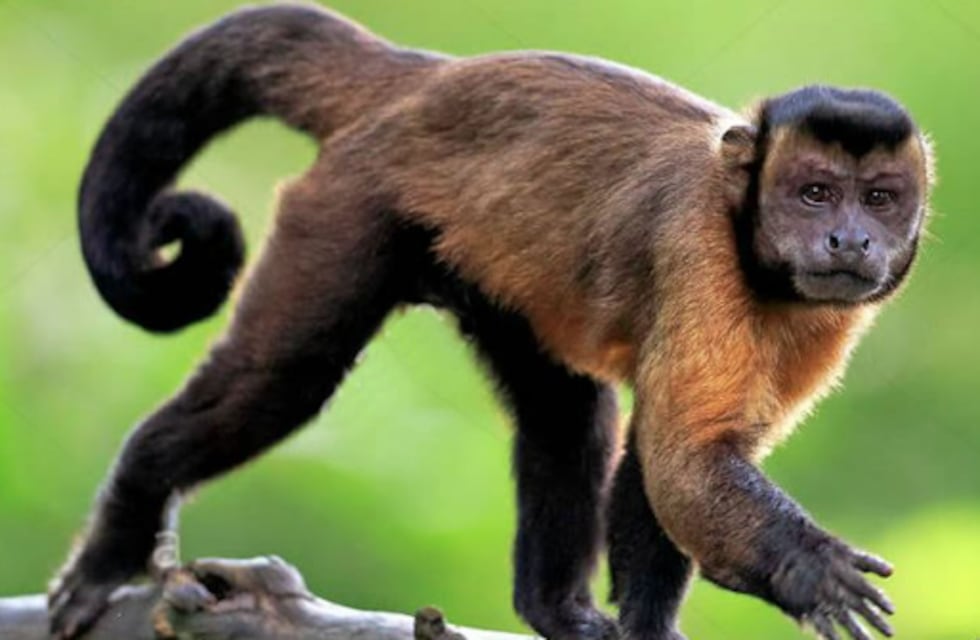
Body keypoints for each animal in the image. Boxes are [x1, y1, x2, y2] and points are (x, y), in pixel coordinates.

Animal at [47, 4, 933, 640]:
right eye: (814, 193)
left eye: (879, 199)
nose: (849, 238)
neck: (754, 253)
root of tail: (418, 76)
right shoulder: (698, 251)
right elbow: (685, 460)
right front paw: (810, 569)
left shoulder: (826, 325)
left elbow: (664, 461)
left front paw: (647, 629)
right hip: (351, 205)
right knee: (280, 380)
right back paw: (120, 532)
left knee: (564, 412)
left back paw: (553, 610)